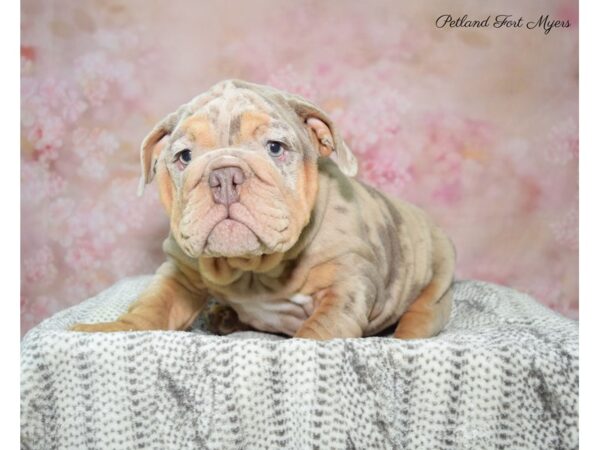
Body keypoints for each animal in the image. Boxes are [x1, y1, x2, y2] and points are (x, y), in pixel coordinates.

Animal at [71, 79, 454, 340]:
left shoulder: (345, 286)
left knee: (418, 318)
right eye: (184, 156)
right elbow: (152, 305)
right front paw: (108, 330)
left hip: (435, 282)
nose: (224, 176)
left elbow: (316, 333)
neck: (252, 267)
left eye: (275, 147)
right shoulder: (179, 272)